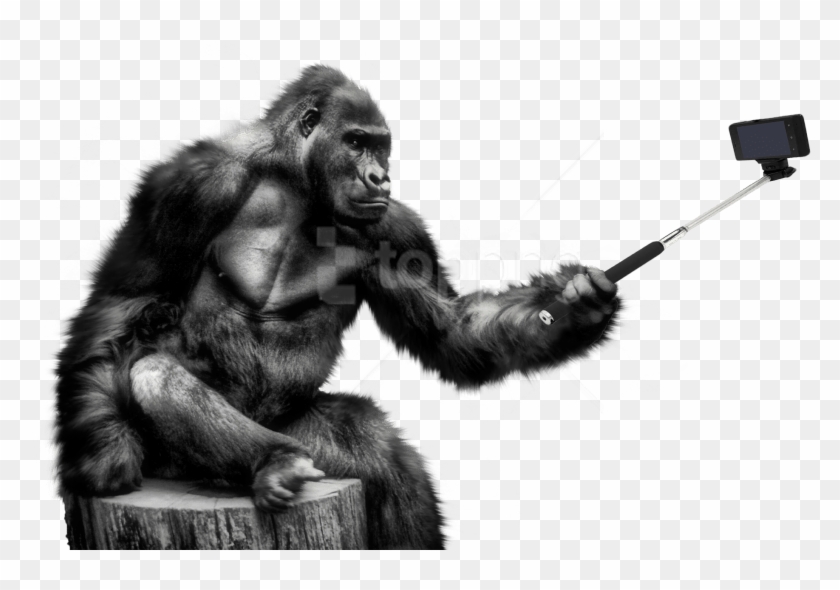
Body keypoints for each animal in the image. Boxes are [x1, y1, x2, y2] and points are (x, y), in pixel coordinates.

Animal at [55, 65, 621, 550]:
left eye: (381, 147)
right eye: (355, 142)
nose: (380, 178)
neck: (295, 180)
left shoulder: (396, 229)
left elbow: (450, 330)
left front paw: (580, 305)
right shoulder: (190, 183)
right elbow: (125, 304)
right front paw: (103, 451)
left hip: (312, 443)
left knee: (381, 458)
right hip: (181, 463)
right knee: (152, 372)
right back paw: (273, 462)